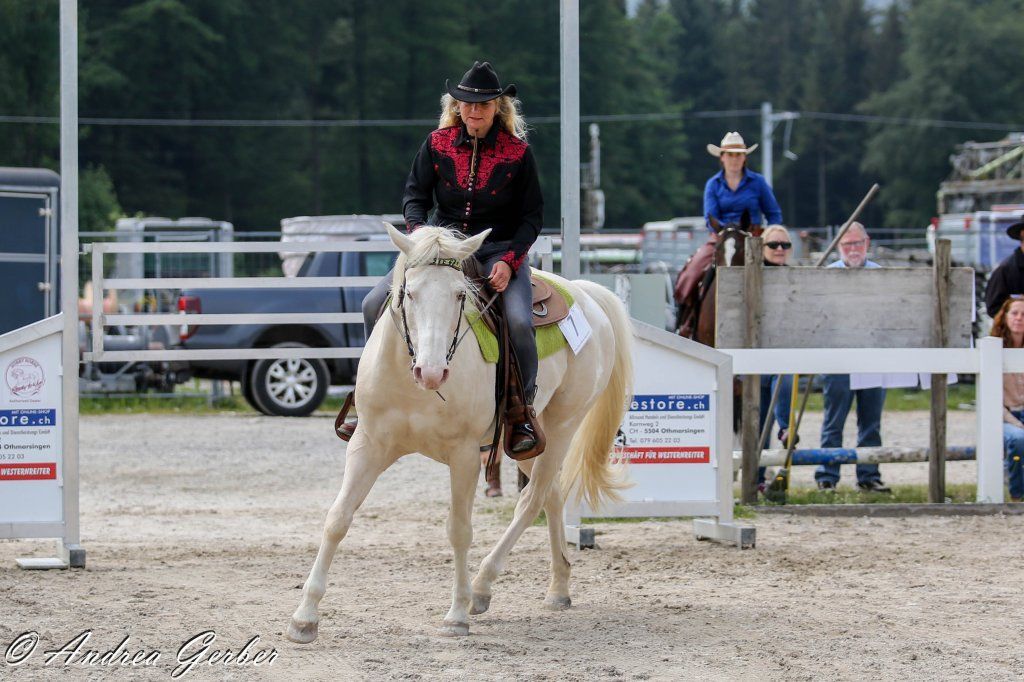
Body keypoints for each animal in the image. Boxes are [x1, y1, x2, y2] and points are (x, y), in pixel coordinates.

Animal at [287, 224, 634, 642]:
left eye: (459, 294)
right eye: (410, 293)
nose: (432, 373)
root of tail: (586, 294)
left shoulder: (465, 455)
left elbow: (459, 530)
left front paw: (456, 614)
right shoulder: (367, 445)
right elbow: (338, 518)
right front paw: (304, 617)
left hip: (562, 427)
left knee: (532, 499)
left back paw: (482, 588)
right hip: (528, 446)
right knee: (550, 495)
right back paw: (558, 588)